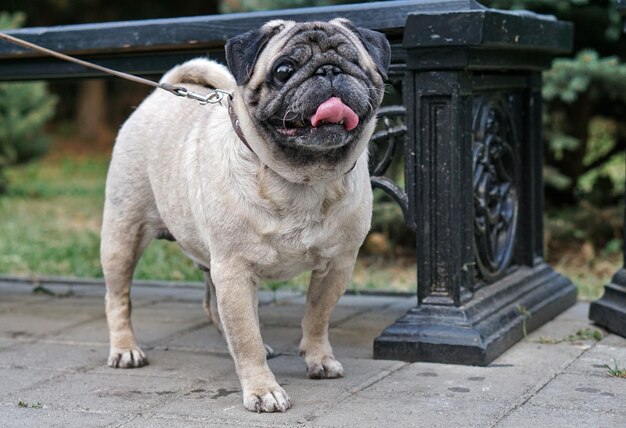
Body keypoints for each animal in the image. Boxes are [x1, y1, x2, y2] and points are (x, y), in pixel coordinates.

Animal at [100, 18, 388, 412]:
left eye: (355, 63)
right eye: (283, 71)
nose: (329, 70)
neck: (301, 178)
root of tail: (162, 93)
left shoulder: (337, 265)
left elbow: (316, 317)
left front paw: (319, 358)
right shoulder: (235, 271)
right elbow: (246, 336)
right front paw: (263, 389)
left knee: (214, 307)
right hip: (123, 234)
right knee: (118, 298)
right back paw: (125, 349)